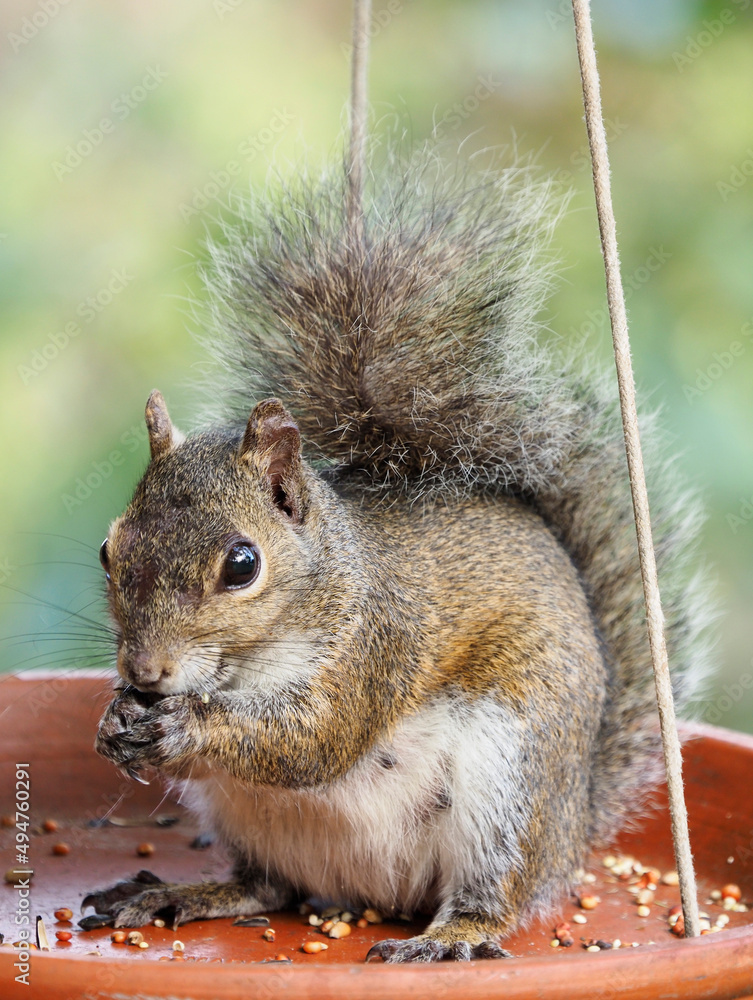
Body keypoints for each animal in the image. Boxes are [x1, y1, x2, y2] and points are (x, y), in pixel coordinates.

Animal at [81, 154, 709, 963]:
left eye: (243, 565)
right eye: (108, 549)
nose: (144, 673)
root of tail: (573, 825)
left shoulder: (375, 644)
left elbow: (313, 739)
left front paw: (182, 725)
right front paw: (114, 723)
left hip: (513, 782)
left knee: (493, 895)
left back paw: (450, 937)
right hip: (247, 818)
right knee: (266, 888)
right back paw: (180, 894)